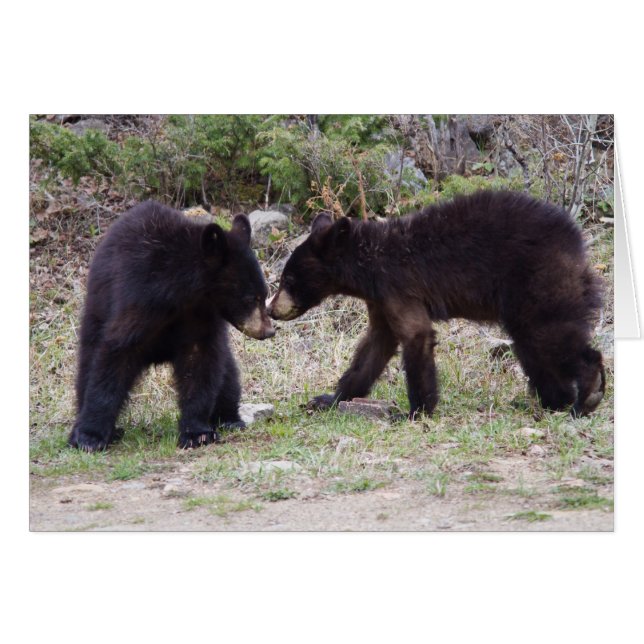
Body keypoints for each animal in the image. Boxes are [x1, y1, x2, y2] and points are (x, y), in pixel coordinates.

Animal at [69, 200, 275, 452]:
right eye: (250, 298)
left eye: (263, 294)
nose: (269, 330)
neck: (183, 294)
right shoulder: (139, 299)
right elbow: (115, 356)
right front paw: (89, 436)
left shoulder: (201, 319)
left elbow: (200, 366)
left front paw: (197, 432)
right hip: (96, 311)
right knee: (88, 362)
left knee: (227, 375)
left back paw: (229, 419)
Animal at [268, 190, 605, 419]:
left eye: (288, 279)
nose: (272, 309)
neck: (369, 262)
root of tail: (576, 241)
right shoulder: (380, 298)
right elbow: (374, 347)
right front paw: (330, 398)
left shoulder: (398, 286)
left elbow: (415, 335)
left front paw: (416, 411)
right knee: (531, 344)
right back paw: (552, 400)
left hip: (539, 281)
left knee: (551, 335)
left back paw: (586, 397)